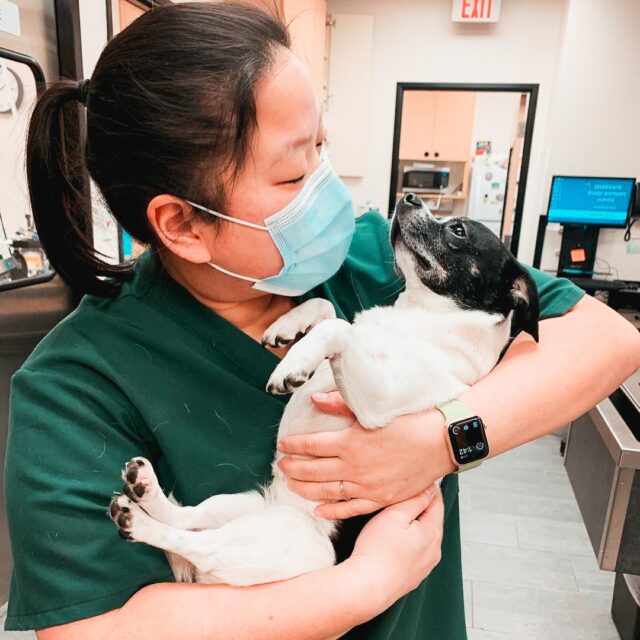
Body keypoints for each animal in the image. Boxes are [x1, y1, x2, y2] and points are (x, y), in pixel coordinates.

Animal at [107, 194, 536, 584]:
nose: (410, 196)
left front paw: (293, 365)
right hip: (232, 505)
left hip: (263, 545)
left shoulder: (379, 401)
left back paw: (139, 522)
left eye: (458, 231)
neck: (421, 319)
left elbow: (339, 327)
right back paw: (144, 490)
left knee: (198, 544)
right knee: (188, 517)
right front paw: (288, 328)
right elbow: (328, 310)